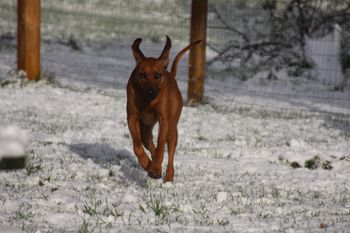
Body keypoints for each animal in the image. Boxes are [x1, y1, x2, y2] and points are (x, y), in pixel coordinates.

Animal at [127, 36, 201, 182]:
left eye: (158, 75)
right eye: (142, 75)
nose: (150, 91)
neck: (148, 101)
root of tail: (171, 74)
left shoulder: (164, 120)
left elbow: (161, 146)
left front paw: (155, 168)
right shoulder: (132, 117)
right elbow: (137, 146)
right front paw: (147, 163)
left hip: (172, 129)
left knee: (170, 151)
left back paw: (168, 176)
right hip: (145, 129)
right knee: (149, 144)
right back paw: (152, 165)